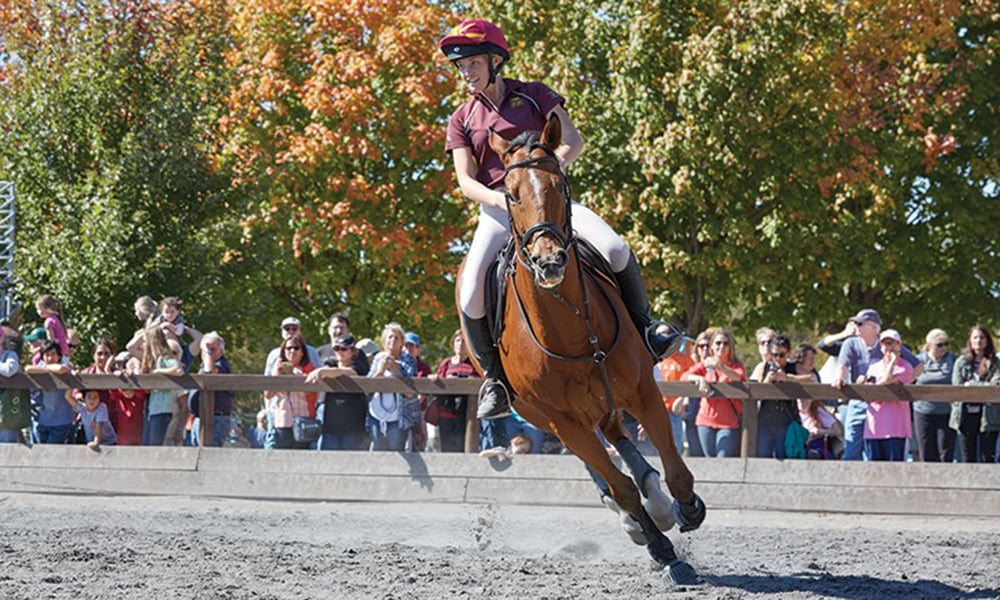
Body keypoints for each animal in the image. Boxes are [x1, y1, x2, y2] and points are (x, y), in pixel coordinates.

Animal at [458, 115, 704, 584]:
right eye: (510, 194)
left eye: (560, 184)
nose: (549, 262)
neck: (572, 330)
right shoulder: (562, 420)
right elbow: (620, 487)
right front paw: (663, 552)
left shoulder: (643, 390)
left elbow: (676, 471)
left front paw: (686, 509)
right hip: (546, 416)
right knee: (604, 465)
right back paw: (641, 520)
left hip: (604, 401)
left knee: (619, 438)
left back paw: (658, 500)